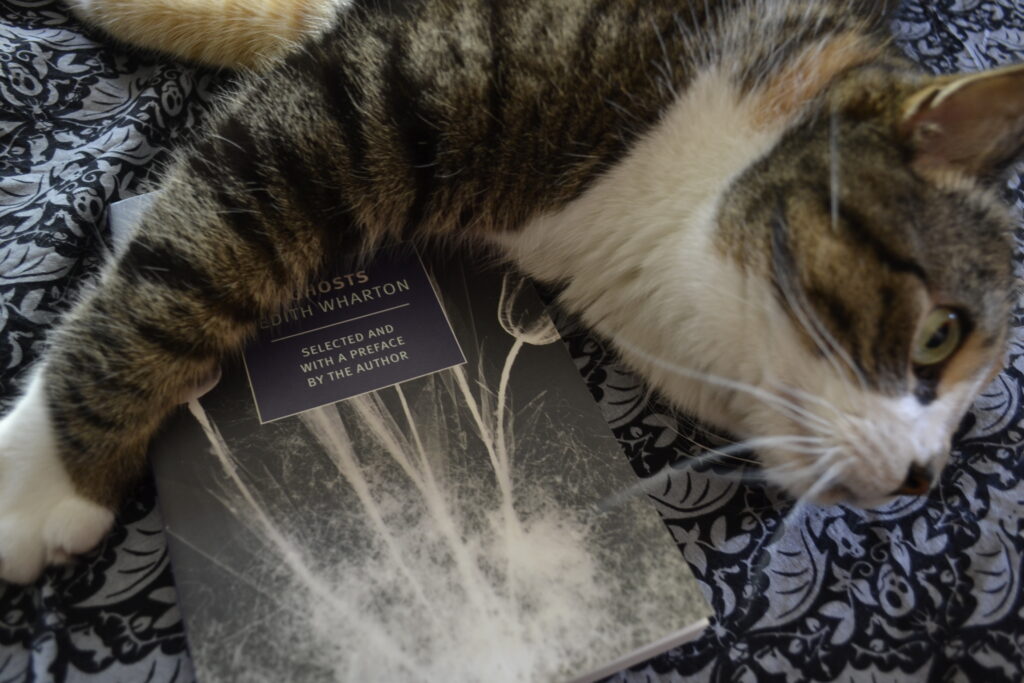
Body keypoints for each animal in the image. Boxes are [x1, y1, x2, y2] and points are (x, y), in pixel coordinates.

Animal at [2, 0, 1024, 585]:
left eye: (972, 416)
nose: (924, 474)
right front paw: (47, 475)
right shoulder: (376, 90)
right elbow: (191, 262)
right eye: (940, 335)